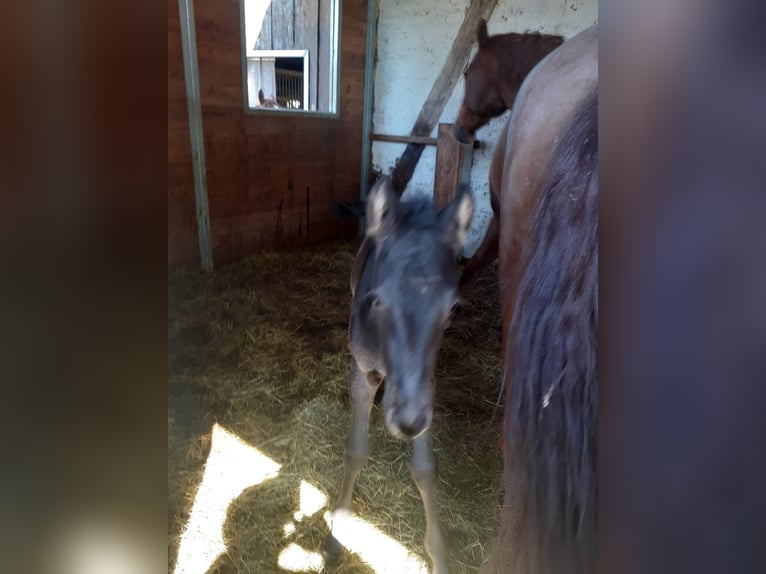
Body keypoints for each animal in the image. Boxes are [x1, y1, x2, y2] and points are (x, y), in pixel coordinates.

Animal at [328, 178, 476, 574]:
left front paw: (438, 555)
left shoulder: (426, 385)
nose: (407, 423)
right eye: (377, 300)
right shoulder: (361, 372)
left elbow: (424, 469)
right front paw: (337, 531)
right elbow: (356, 451)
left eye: (452, 308)